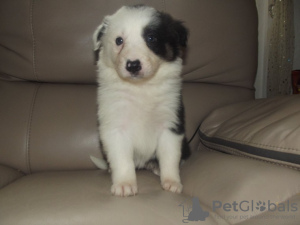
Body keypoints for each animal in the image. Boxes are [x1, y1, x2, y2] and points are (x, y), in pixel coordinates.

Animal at [92, 4, 190, 196]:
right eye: (119, 40)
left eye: (151, 38)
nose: (133, 65)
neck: (141, 88)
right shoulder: (115, 126)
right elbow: (122, 159)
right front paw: (124, 184)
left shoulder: (171, 124)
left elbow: (170, 157)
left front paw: (172, 181)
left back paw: (156, 167)